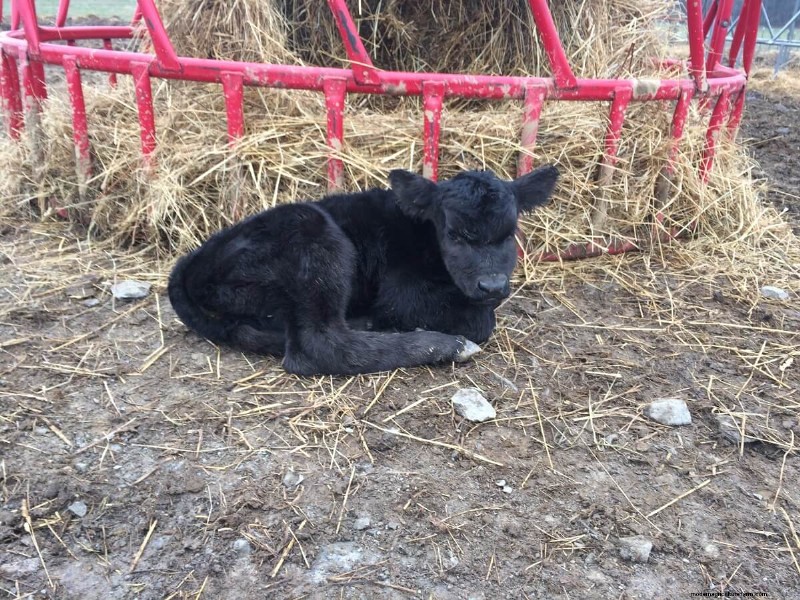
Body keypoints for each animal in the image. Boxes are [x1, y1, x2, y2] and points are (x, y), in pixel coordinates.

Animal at [168, 165, 558, 375]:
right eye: (454, 234)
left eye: (509, 233)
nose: (491, 285)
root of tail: (190, 266)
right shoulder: (402, 293)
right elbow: (481, 320)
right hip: (314, 235)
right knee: (316, 344)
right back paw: (444, 345)